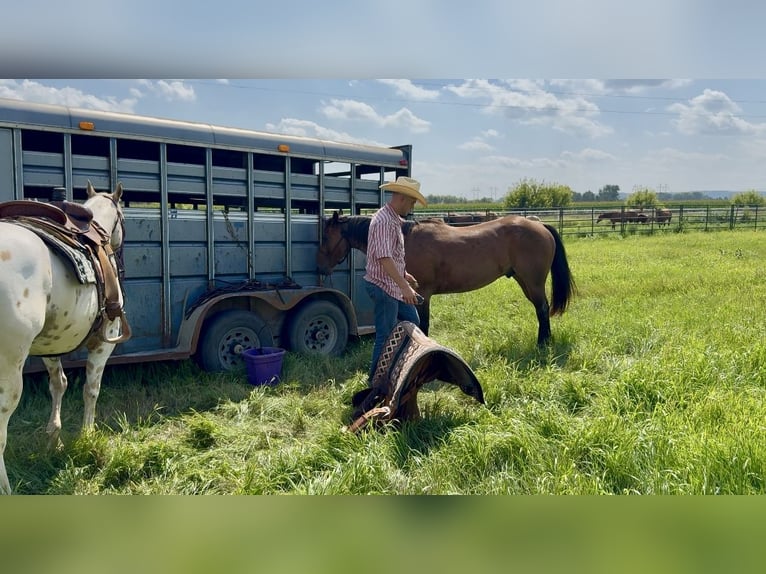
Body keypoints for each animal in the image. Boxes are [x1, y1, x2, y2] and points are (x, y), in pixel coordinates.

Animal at [0, 181, 130, 494]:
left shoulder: (51, 344)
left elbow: (59, 383)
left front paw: (53, 438)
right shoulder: (104, 341)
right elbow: (91, 389)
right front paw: (87, 435)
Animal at [316, 212, 575, 348]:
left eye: (326, 237)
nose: (320, 267)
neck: (404, 239)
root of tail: (539, 224)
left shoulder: (422, 294)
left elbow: (423, 325)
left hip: (533, 283)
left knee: (542, 309)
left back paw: (542, 343)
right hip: (524, 281)